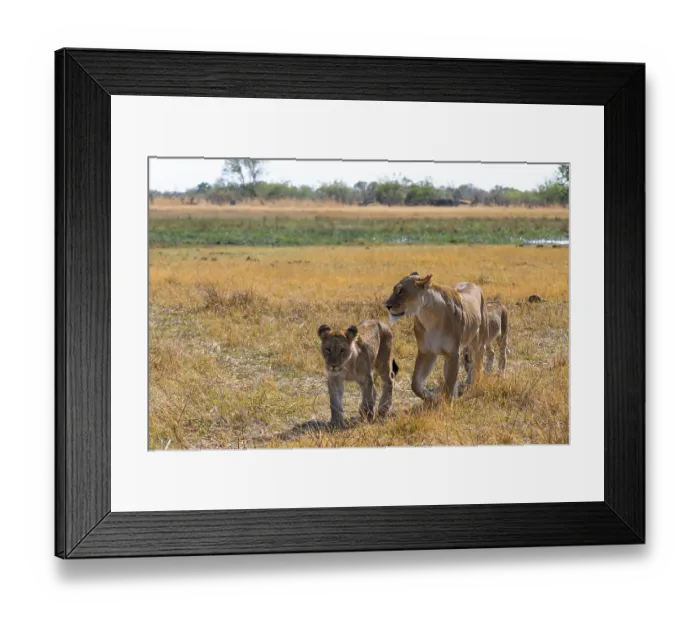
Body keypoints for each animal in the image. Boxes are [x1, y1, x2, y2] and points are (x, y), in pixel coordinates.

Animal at [383, 272, 488, 403]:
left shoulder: (453, 353)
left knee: (477, 364)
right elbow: (415, 384)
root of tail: (473, 284)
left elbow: (449, 385)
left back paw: (474, 384)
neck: (428, 316)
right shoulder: (426, 352)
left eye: (401, 291)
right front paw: (433, 398)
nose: (387, 305)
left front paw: (445, 405)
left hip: (478, 342)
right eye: (394, 290)